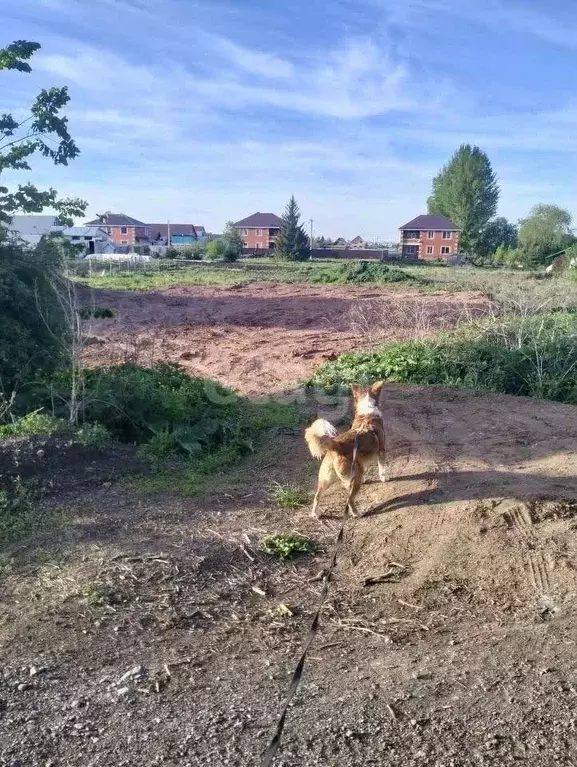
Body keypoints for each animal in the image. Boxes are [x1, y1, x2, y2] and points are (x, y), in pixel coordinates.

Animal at [302, 380, 388, 520]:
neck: (367, 415)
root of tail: (337, 446)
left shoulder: (360, 461)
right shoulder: (381, 450)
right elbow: (382, 468)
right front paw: (384, 478)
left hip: (326, 479)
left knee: (317, 496)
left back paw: (315, 514)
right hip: (353, 479)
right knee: (349, 499)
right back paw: (357, 513)